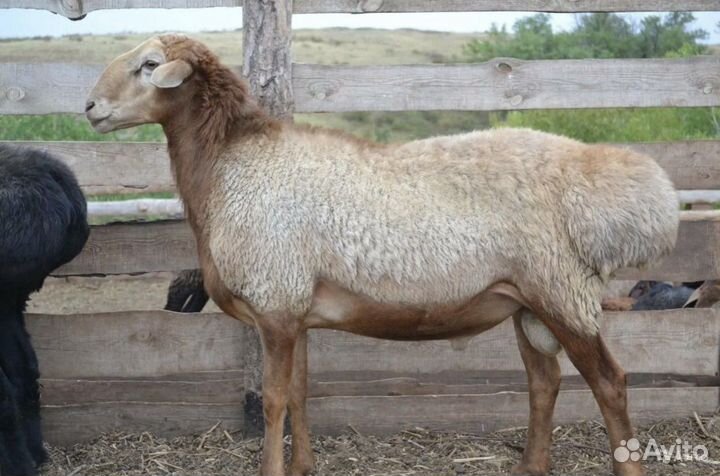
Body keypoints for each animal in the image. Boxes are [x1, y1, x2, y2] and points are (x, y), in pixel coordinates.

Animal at [85, 35, 679, 476]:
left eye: (149, 65)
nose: (89, 108)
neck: (232, 165)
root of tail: (597, 180)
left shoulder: (275, 301)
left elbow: (274, 399)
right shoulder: (296, 308)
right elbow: (299, 393)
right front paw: (303, 467)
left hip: (562, 293)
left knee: (610, 383)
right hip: (527, 299)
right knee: (544, 381)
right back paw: (530, 466)